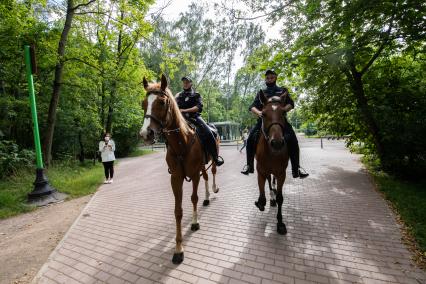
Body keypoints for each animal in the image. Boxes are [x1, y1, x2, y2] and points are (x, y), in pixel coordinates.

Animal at [140, 75, 220, 264]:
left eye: (162, 102)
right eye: (143, 103)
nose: (145, 134)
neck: (181, 142)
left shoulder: (193, 175)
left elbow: (193, 198)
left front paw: (195, 223)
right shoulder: (175, 178)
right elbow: (178, 211)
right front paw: (178, 249)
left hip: (212, 160)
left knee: (212, 173)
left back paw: (213, 190)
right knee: (206, 176)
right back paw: (207, 197)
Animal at [255, 90, 292, 234]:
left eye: (284, 113)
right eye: (263, 114)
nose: (276, 143)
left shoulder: (281, 173)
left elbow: (280, 198)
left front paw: (280, 222)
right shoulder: (261, 171)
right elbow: (262, 195)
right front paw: (262, 202)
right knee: (270, 181)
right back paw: (271, 197)